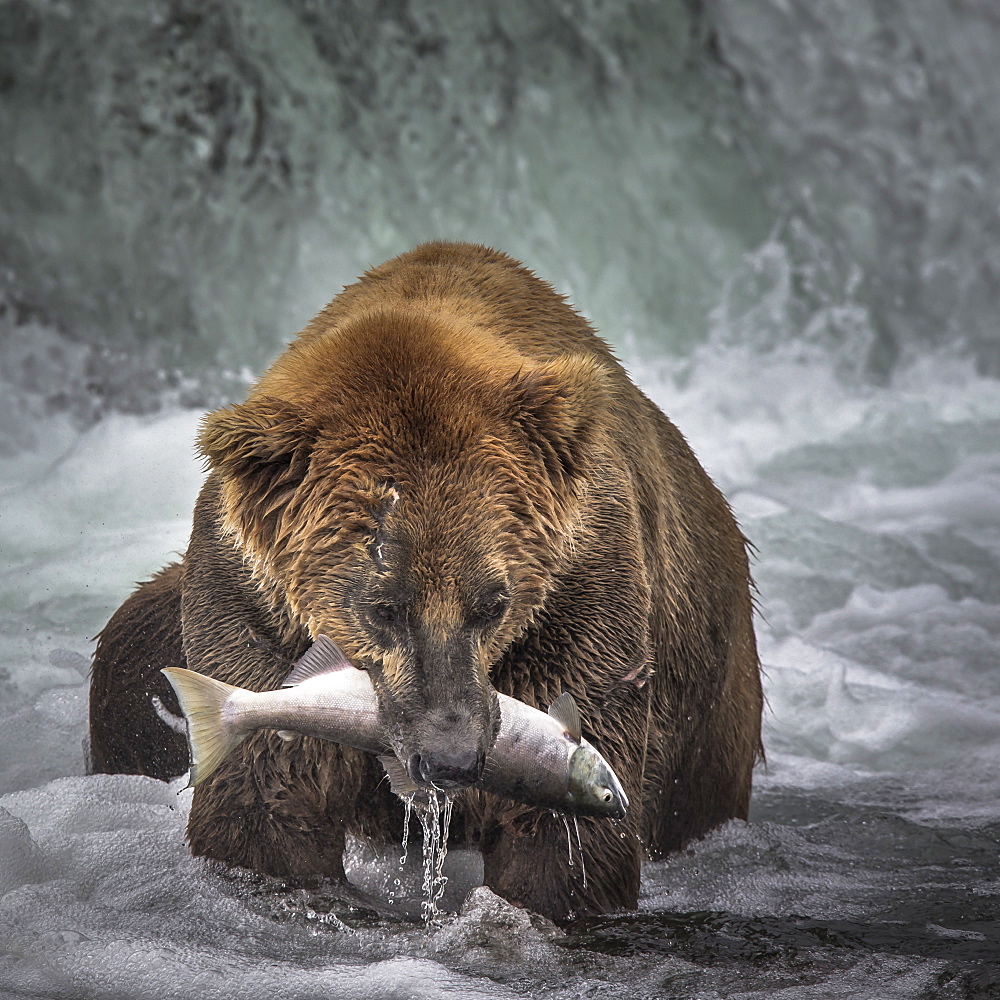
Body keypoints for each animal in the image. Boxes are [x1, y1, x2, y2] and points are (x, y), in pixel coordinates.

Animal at [90, 242, 760, 920]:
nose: (451, 758)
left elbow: (560, 839)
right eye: (383, 606)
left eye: (492, 603)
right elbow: (265, 799)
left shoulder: (581, 590)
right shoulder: (253, 600)